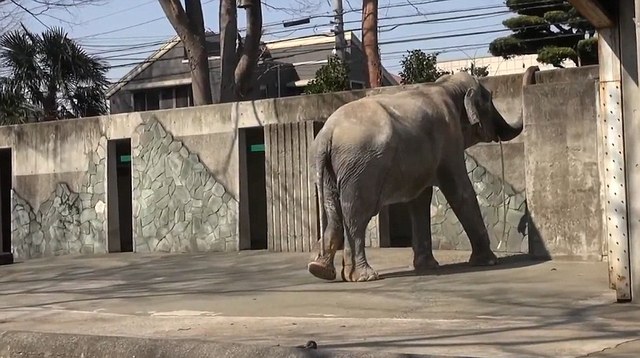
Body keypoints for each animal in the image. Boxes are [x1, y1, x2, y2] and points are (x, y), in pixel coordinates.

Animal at [308, 65, 536, 282]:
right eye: (489, 102)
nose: (535, 70)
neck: (447, 85)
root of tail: (327, 133)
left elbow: (420, 199)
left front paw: (427, 266)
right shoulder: (449, 137)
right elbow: (460, 191)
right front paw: (488, 262)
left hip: (332, 170)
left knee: (334, 212)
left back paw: (320, 269)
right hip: (361, 167)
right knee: (357, 213)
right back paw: (364, 276)